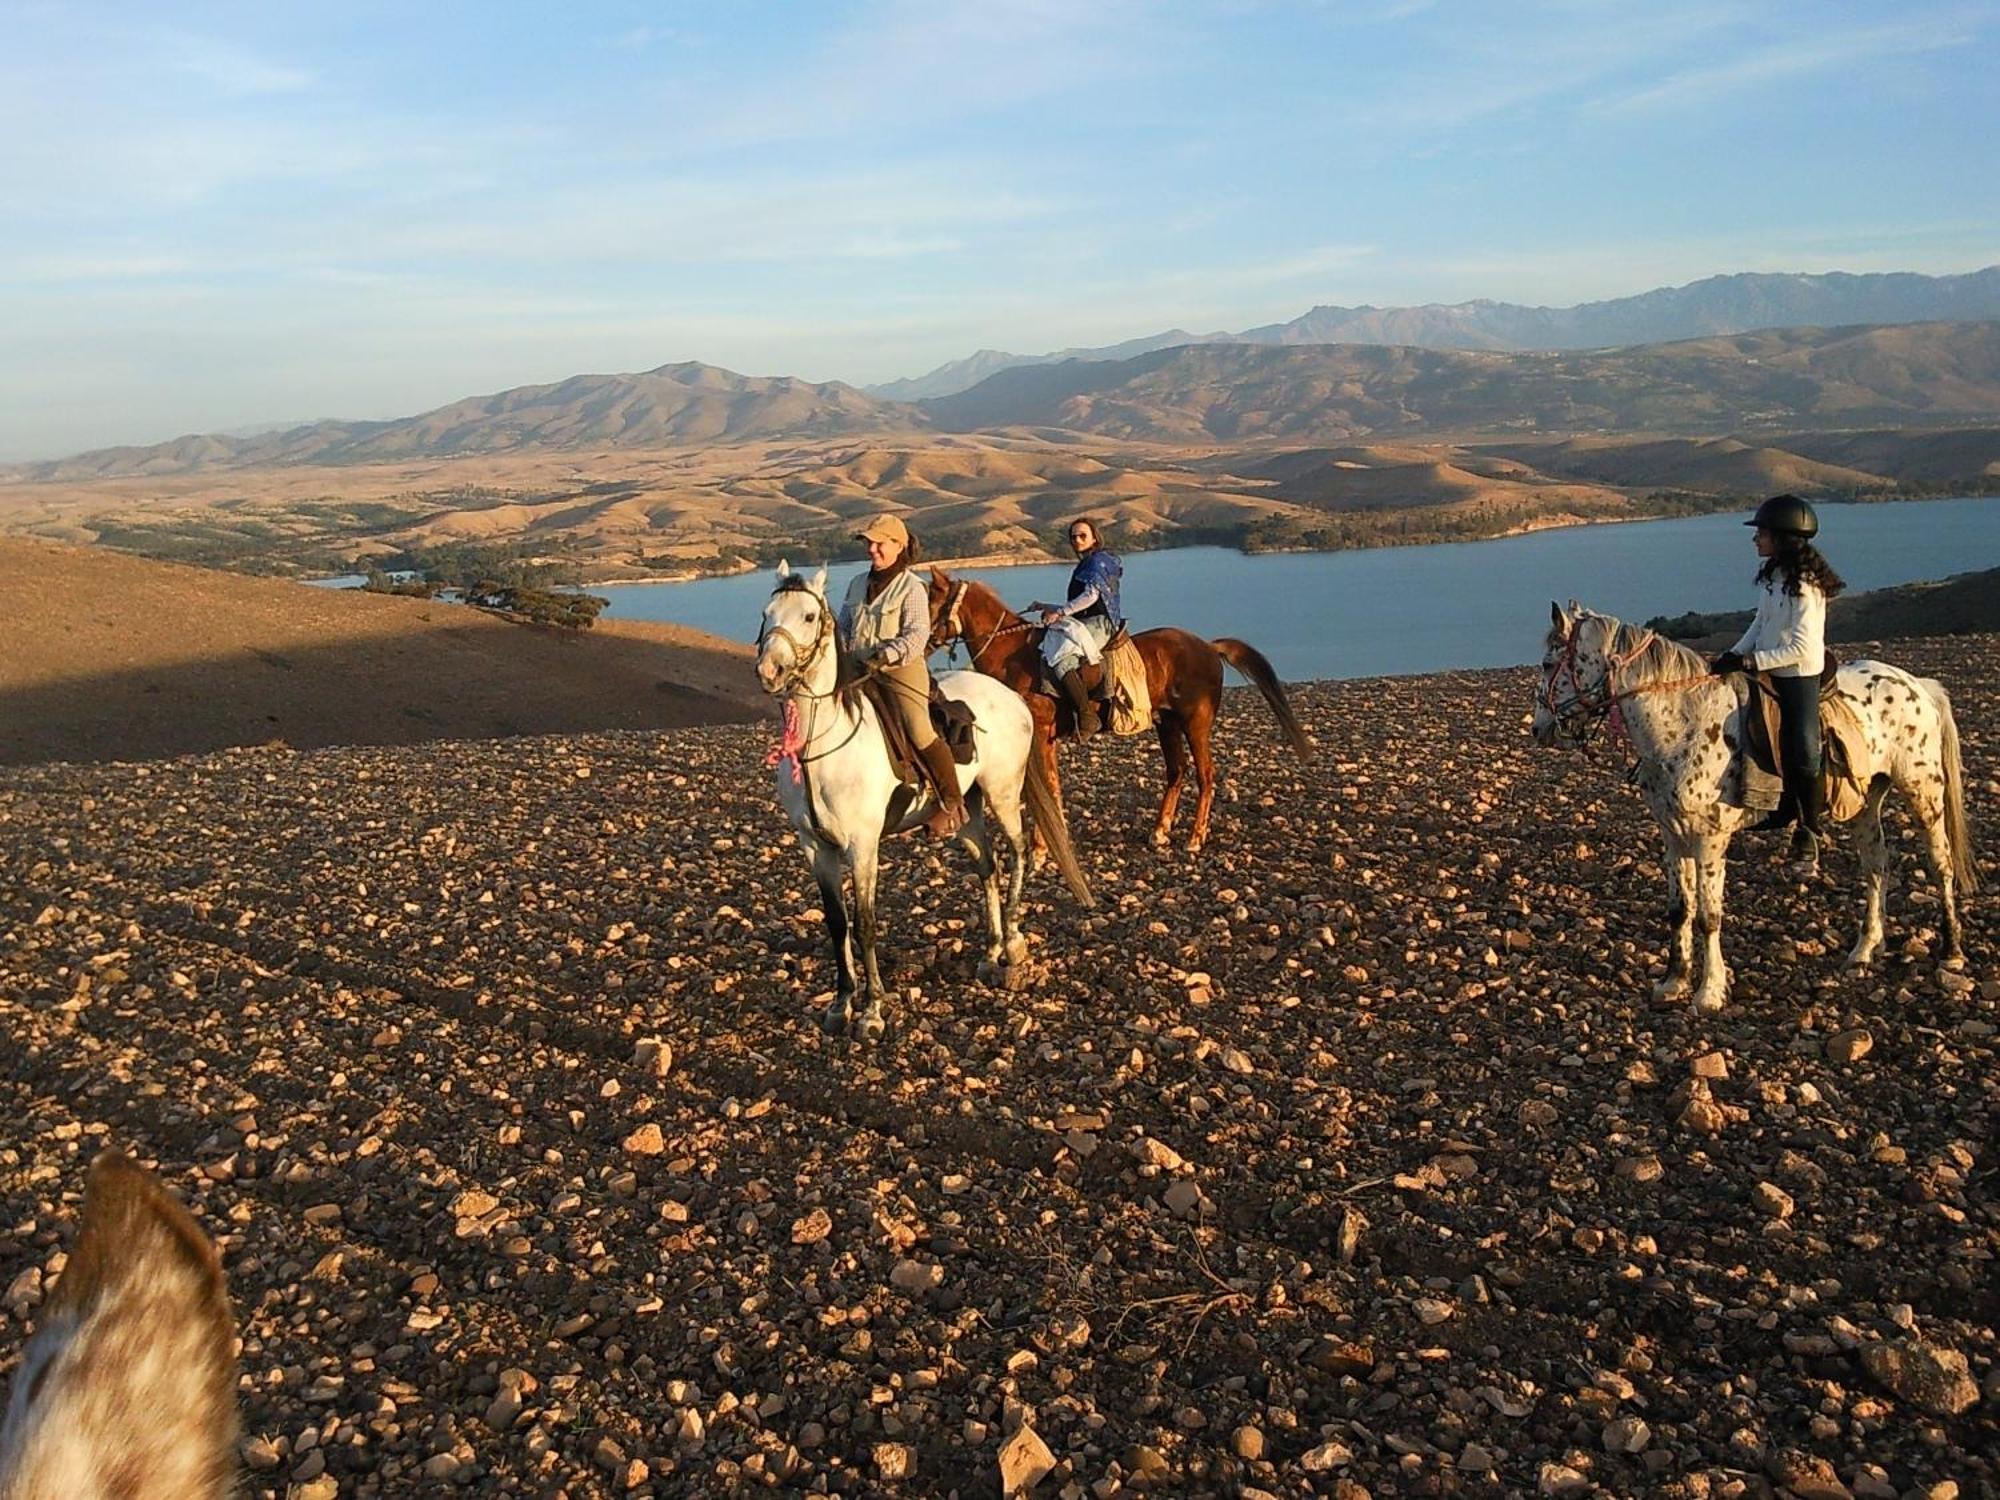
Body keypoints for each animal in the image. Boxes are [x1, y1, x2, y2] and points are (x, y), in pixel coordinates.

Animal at [752, 560, 1096, 1040]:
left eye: (808, 616)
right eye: (767, 613)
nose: (770, 670)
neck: (820, 748)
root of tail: (1010, 696)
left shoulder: (863, 846)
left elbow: (865, 924)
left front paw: (873, 1011)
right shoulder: (815, 847)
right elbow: (837, 924)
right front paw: (840, 1005)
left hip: (1003, 794)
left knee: (1018, 852)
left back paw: (1012, 942)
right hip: (967, 811)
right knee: (987, 867)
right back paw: (990, 952)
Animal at [924, 572, 1312, 856]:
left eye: (930, 602)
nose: (920, 643)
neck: (1013, 654)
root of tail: (1207, 646)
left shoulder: (1042, 737)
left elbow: (1047, 790)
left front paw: (1040, 849)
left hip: (1195, 724)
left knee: (1206, 775)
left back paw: (1195, 838)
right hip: (1168, 724)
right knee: (1177, 772)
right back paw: (1160, 831)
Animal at [1536, 604, 1976, 1016]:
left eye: (1547, 663)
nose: (1539, 728)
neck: (1683, 725)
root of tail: (1917, 685)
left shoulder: (1709, 839)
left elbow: (1708, 916)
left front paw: (1709, 992)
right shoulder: (1674, 835)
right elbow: (1680, 910)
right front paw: (1673, 982)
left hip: (1923, 792)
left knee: (1941, 864)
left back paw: (1952, 952)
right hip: (1866, 804)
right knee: (1876, 866)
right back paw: (1864, 951)